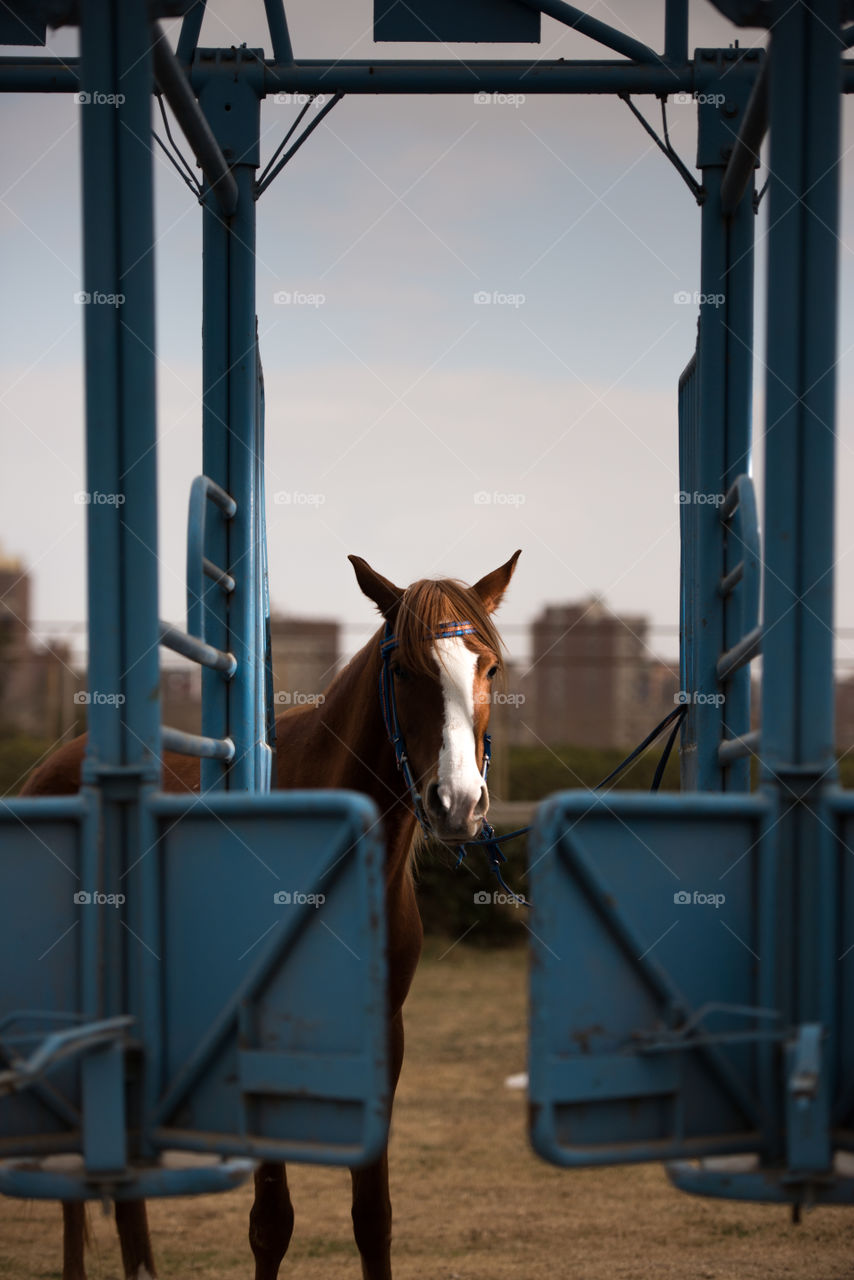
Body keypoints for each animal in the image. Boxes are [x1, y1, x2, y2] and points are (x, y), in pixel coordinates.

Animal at [18, 549, 521, 1280]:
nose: (457, 802)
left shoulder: (383, 1030)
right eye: (404, 669)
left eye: (490, 669)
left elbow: (373, 1215)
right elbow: (271, 1220)